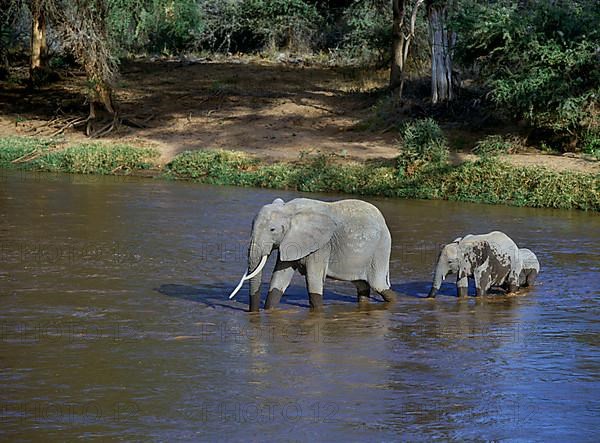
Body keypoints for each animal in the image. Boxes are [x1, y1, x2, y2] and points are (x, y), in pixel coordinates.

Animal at [229, 198, 398, 312]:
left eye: (272, 230)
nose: (252, 311)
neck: (289, 209)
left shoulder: (321, 246)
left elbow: (313, 280)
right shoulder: (290, 241)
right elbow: (279, 279)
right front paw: (269, 310)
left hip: (381, 249)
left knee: (378, 285)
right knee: (362, 285)